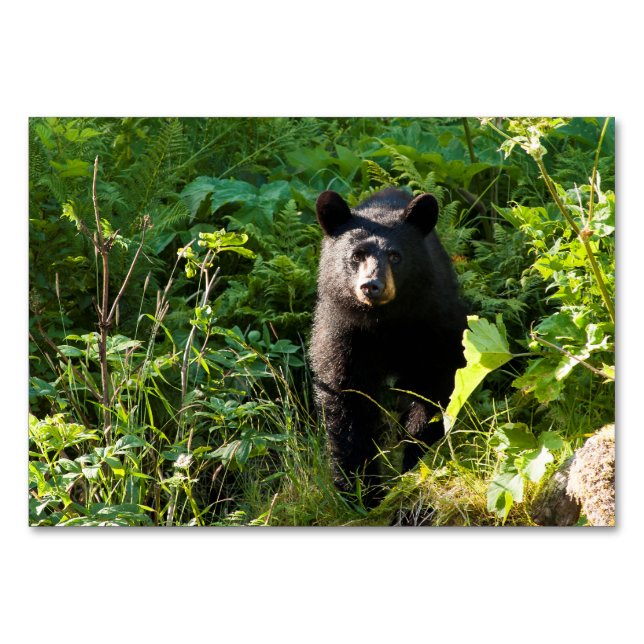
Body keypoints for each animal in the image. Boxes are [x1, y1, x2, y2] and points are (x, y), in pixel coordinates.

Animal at [309, 187, 467, 501]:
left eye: (395, 255)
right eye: (356, 255)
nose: (372, 285)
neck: (385, 323)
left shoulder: (433, 324)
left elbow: (435, 387)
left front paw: (415, 460)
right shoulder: (342, 334)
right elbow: (345, 399)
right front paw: (360, 489)